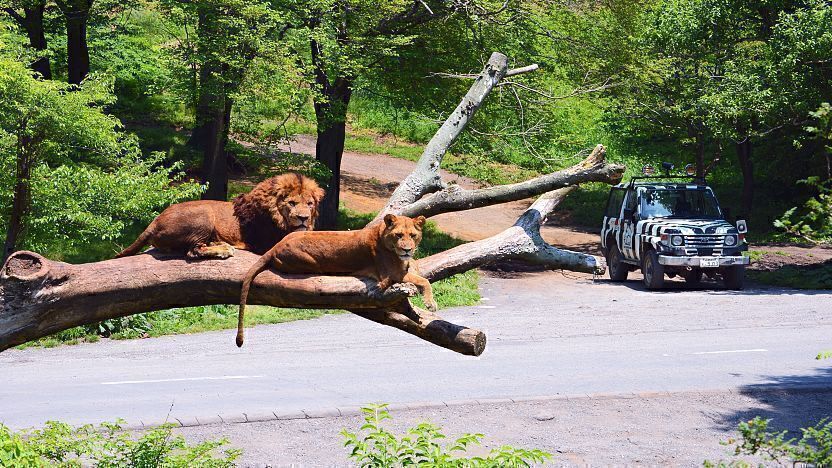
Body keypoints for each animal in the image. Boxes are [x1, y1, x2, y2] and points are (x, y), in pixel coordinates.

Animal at [115, 173, 324, 260]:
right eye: (292, 203)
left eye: (310, 204)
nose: (304, 218)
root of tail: (154, 222)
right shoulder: (265, 242)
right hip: (204, 213)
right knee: (193, 251)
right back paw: (224, 249)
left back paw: (220, 243)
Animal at [237, 214, 438, 346]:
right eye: (398, 235)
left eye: (413, 235)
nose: (407, 249)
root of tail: (275, 246)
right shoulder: (390, 274)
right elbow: (424, 281)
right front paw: (431, 304)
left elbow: (416, 266)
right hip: (309, 261)